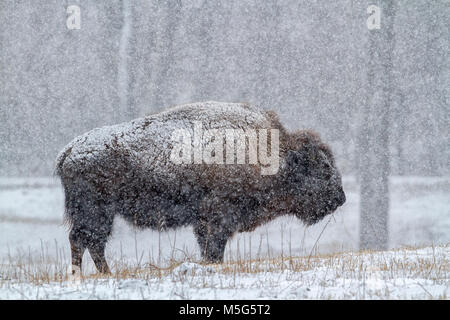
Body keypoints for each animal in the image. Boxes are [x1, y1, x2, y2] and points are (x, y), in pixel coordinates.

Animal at [55, 101, 344, 274]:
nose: (340, 197)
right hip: (96, 211)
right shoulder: (216, 219)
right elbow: (213, 248)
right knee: (86, 240)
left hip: (99, 214)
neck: (273, 155)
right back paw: (93, 274)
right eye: (322, 167)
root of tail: (68, 152)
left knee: (89, 241)